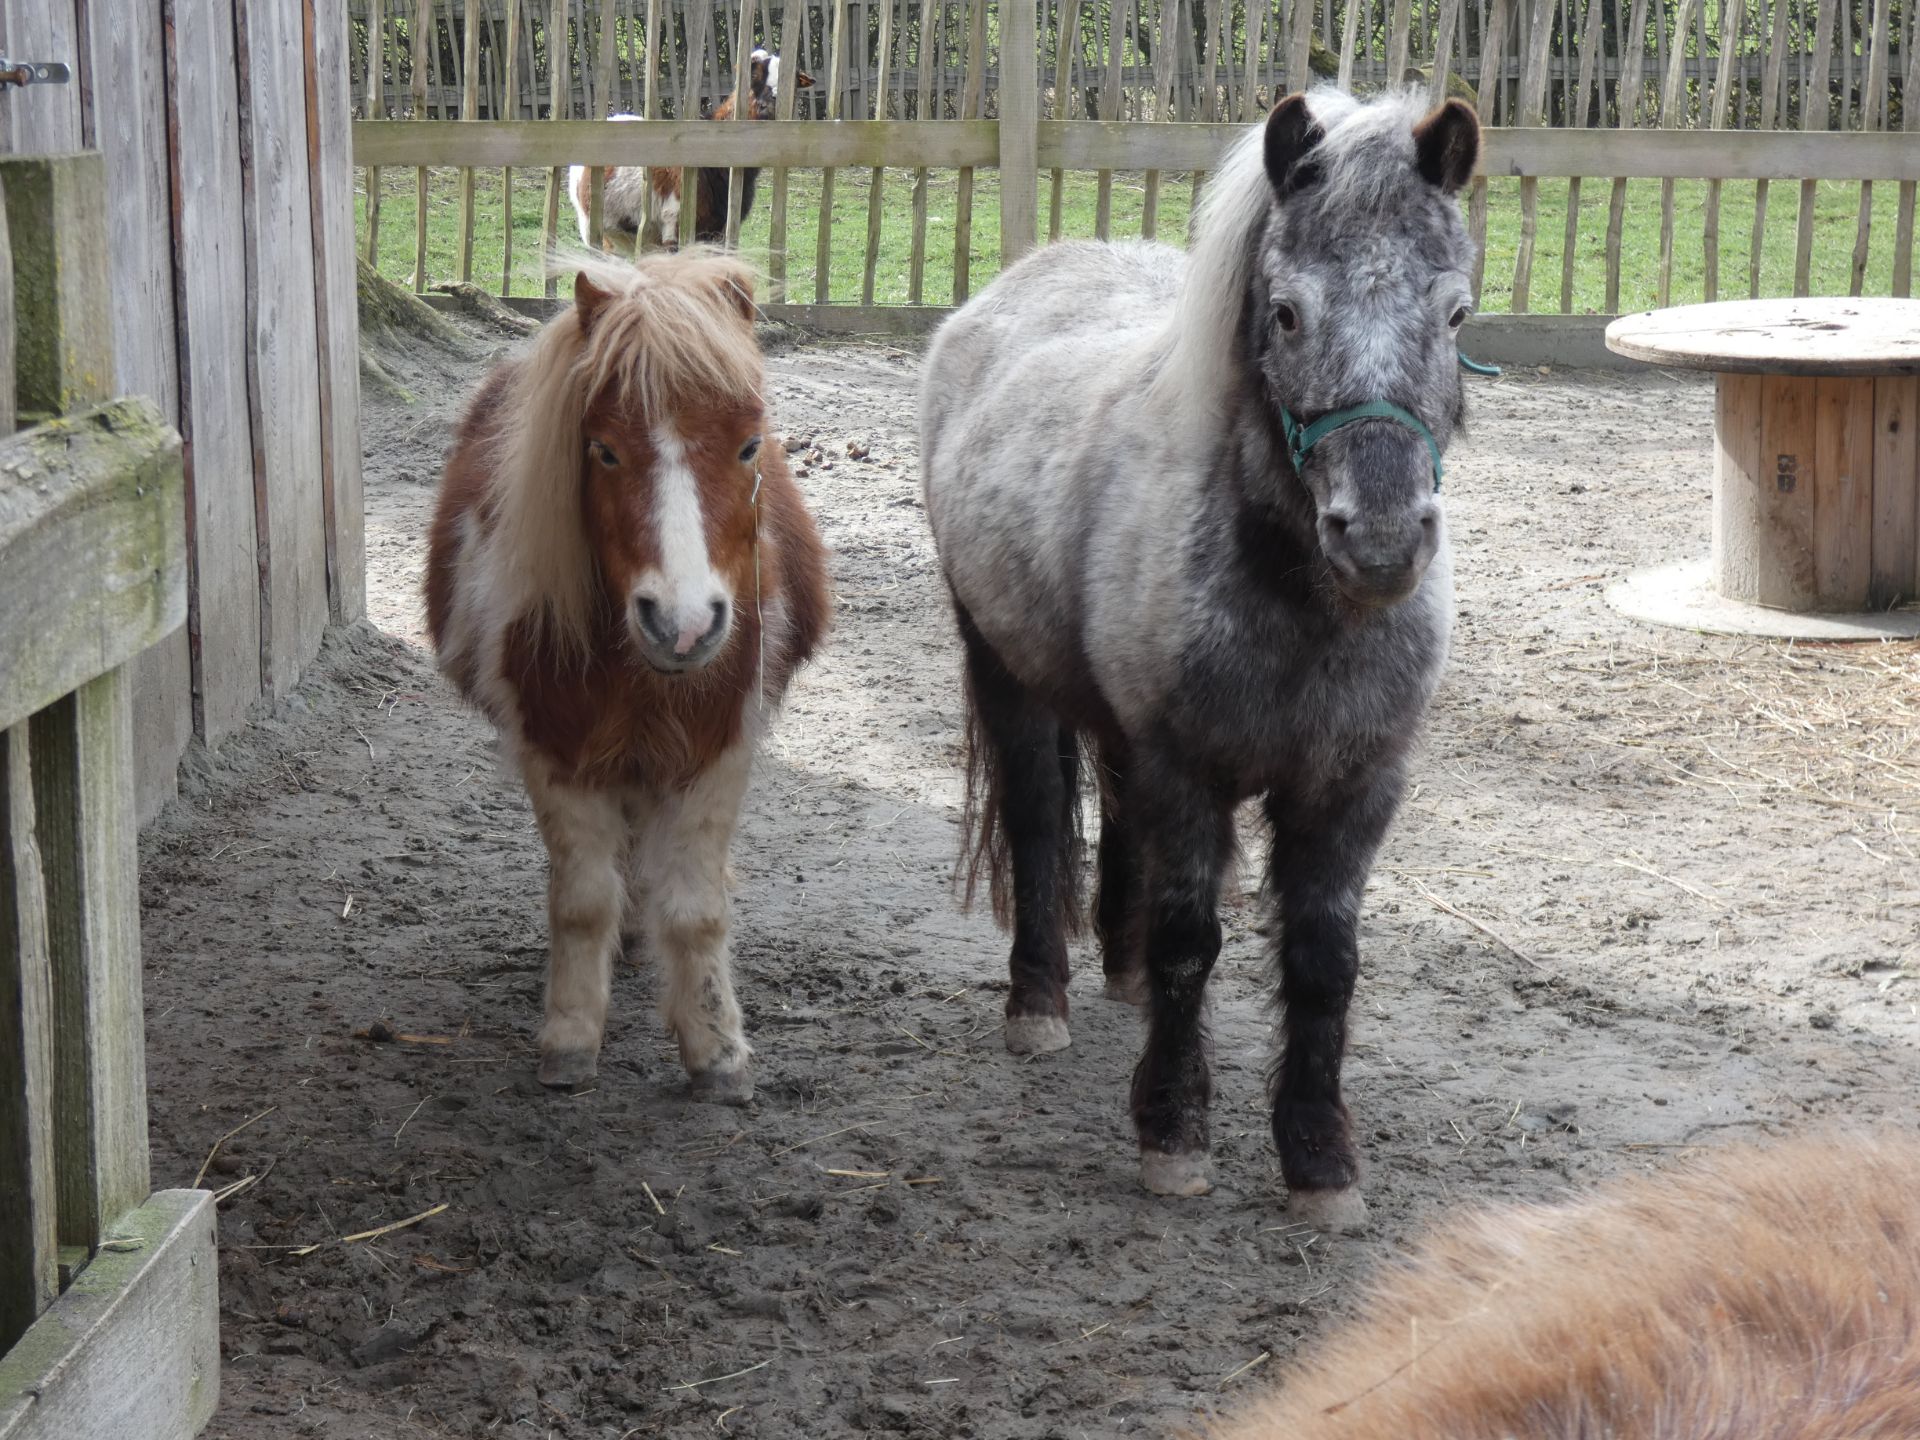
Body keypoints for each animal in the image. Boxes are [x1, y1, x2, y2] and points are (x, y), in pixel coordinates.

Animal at [425, 250, 830, 1100]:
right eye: (604, 449)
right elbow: (581, 902)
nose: (683, 623)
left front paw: (717, 1052)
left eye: (749, 446)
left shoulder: (719, 750)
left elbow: (697, 908)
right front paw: (571, 1039)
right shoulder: (554, 751)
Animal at [568, 51, 812, 253]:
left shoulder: (717, 231)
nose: (769, 103)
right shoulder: (673, 225)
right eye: (754, 75)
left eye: (794, 82)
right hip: (594, 229)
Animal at [918, 88, 1480, 1226]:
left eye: (1455, 314)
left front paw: (1319, 1158)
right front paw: (1174, 1131)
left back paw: (1118, 965)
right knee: (1038, 821)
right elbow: (1192, 943)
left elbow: (1323, 960)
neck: (1304, 611)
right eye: (1287, 313)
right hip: (1003, 670)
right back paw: (1040, 1000)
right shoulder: (1190, 772)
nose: (1382, 539)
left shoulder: (1353, 788)